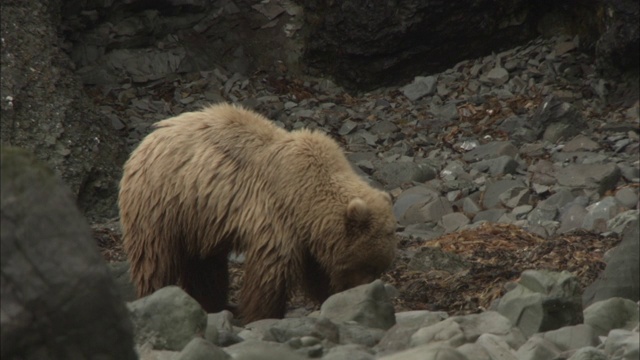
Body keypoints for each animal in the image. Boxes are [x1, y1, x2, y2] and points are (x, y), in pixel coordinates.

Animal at [118, 102, 398, 324]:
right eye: (367, 266)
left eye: (379, 268)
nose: (367, 290)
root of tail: (147, 140)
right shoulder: (276, 217)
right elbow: (269, 275)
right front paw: (262, 316)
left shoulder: (308, 234)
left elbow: (318, 271)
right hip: (163, 203)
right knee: (155, 258)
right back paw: (155, 294)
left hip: (198, 218)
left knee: (204, 264)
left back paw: (210, 303)